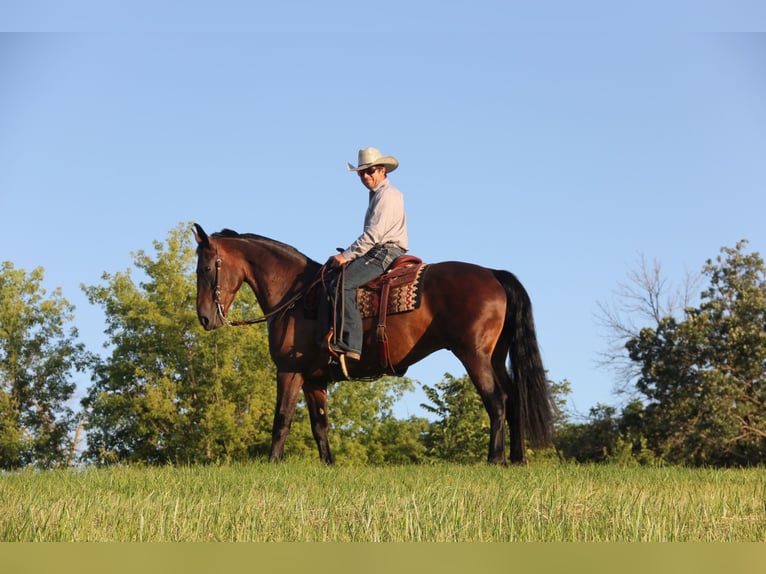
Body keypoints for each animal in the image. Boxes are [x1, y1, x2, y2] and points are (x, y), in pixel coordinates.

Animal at [192, 223, 552, 466]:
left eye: (206, 267)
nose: (205, 318)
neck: (296, 296)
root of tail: (493, 274)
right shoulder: (314, 379)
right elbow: (320, 424)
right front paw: (328, 464)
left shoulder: (290, 371)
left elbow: (281, 419)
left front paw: (272, 462)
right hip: (495, 357)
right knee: (514, 398)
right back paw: (517, 459)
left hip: (474, 356)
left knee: (497, 400)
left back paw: (496, 459)